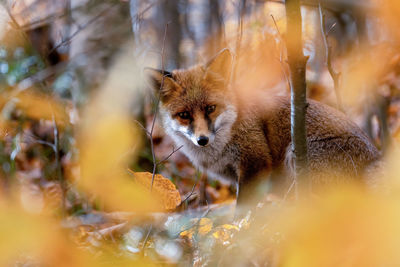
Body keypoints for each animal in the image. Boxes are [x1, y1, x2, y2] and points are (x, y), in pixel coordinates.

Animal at [145, 49, 382, 203]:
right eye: (184, 115)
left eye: (210, 108)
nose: (202, 140)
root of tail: (376, 157)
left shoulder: (255, 164)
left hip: (294, 156)